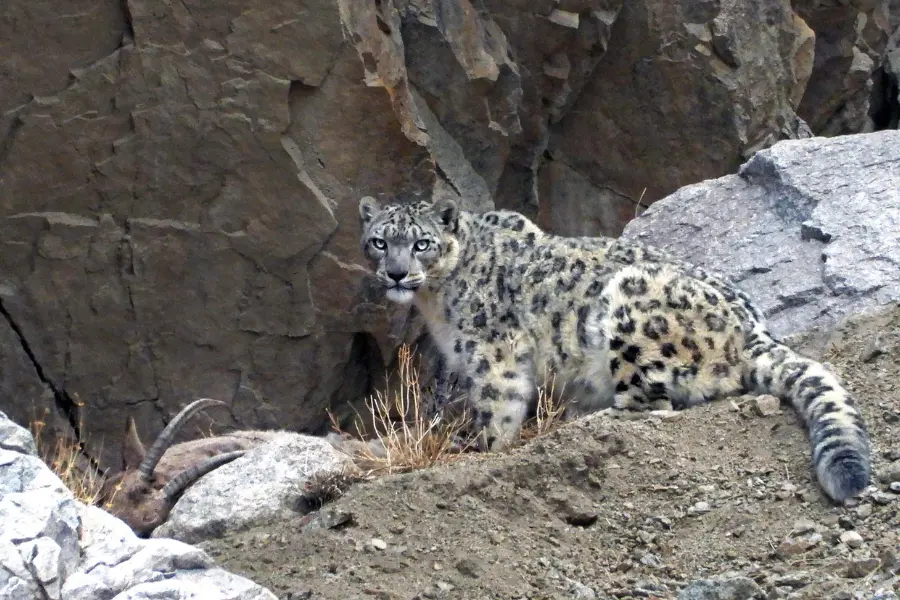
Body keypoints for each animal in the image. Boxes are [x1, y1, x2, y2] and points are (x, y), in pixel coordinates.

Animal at [357, 196, 871, 503]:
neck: (435, 300)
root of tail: (753, 329)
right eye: (379, 241)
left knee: (653, 402)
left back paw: (591, 417)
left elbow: (496, 404)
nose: (396, 274)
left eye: (422, 244)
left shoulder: (492, 351)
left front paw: (476, 445)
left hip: (630, 312)